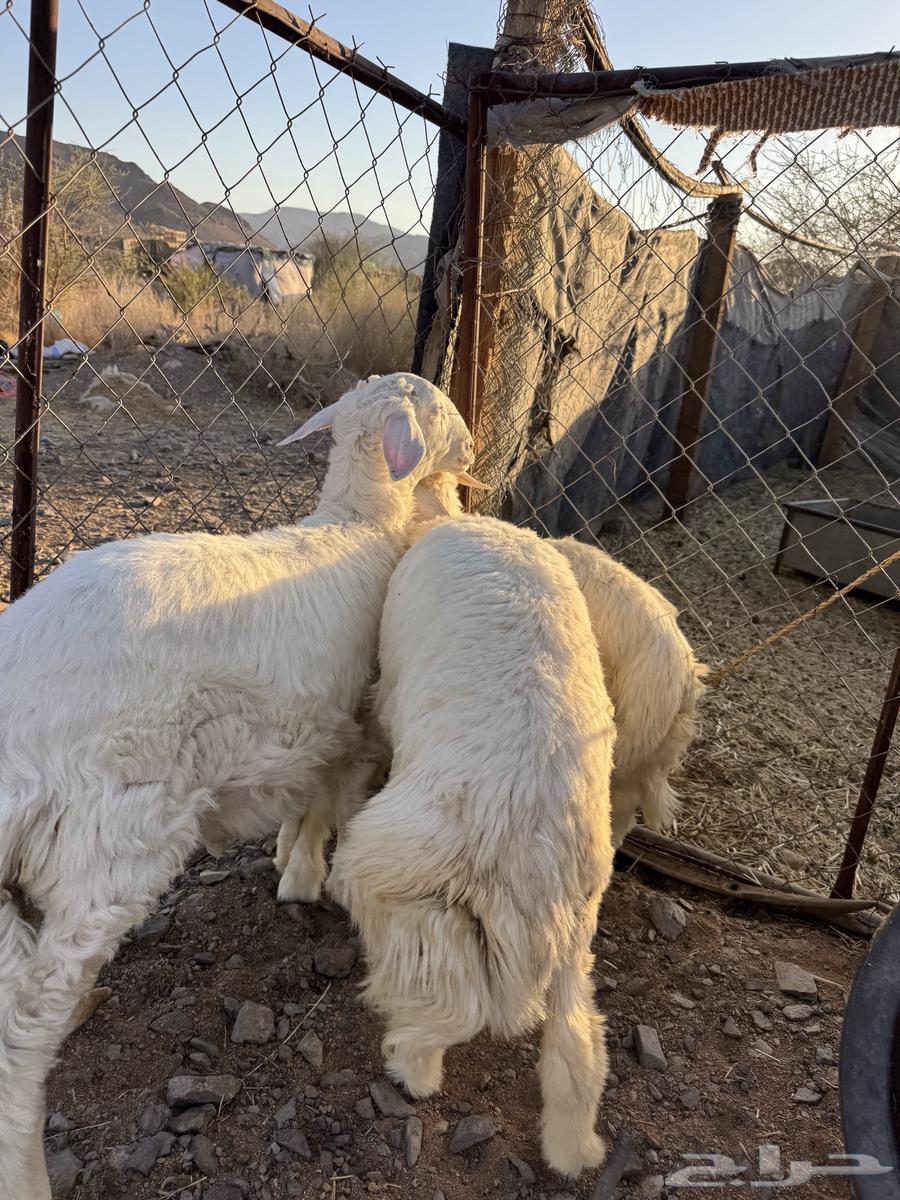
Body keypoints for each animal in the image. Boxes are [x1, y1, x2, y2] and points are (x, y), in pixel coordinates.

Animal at [0, 372, 477, 1200]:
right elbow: (331, 801)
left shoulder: (312, 727)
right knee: (23, 1024)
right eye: (440, 408)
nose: (476, 448)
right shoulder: (354, 722)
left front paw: (289, 859)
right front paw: (308, 875)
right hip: (109, 836)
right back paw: (28, 1169)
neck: (355, 527)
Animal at [328, 516, 617, 1179]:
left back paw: (412, 1069)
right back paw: (573, 1152)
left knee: (443, 992)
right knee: (576, 1043)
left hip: (399, 870)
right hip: (575, 932)